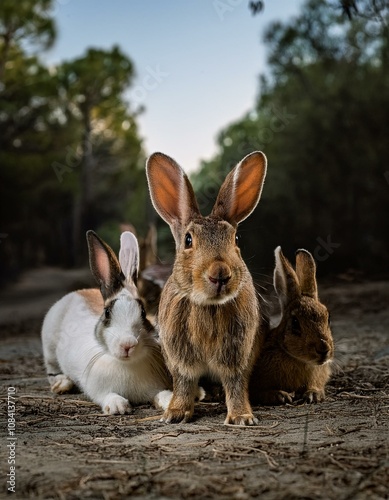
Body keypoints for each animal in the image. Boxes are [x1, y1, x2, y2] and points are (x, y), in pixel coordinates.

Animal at [40, 230, 171, 414]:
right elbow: (108, 395)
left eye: (143, 313)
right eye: (107, 312)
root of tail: (80, 291)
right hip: (49, 347)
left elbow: (161, 393)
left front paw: (169, 400)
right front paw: (118, 406)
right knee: (52, 370)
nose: (128, 344)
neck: (127, 364)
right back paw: (62, 384)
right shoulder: (98, 390)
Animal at [146, 150, 266, 424]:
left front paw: (242, 417)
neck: (209, 305)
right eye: (188, 240)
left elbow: (235, 383)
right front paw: (174, 414)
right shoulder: (181, 359)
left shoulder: (238, 355)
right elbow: (183, 383)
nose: (220, 273)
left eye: (235, 238)